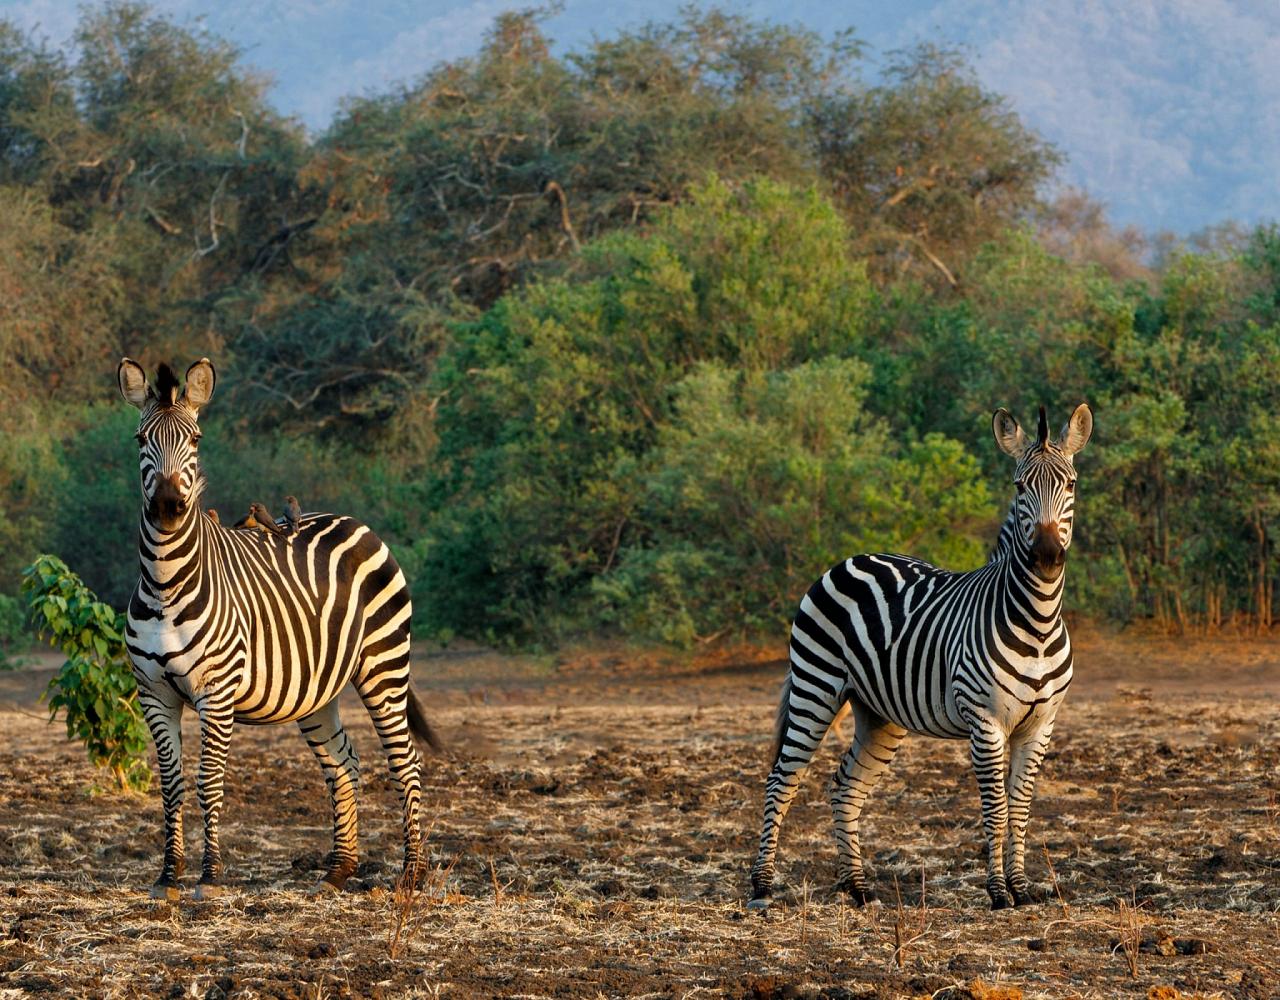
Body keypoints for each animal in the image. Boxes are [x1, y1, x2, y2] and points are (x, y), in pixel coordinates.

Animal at [117, 355, 445, 896]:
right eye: (141, 439)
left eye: (196, 440)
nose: (167, 507)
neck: (166, 583)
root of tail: (354, 521)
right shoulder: (154, 694)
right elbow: (170, 785)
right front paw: (167, 876)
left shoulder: (216, 693)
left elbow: (208, 782)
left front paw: (210, 877)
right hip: (317, 690)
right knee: (343, 762)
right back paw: (339, 870)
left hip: (384, 666)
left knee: (405, 761)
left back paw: (412, 874)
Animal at [747, 402, 1090, 906]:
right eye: (1019, 486)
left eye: (1070, 484)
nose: (1046, 556)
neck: (1039, 623)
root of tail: (849, 559)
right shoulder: (985, 722)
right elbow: (996, 809)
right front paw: (997, 892)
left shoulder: (1040, 726)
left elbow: (1020, 808)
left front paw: (1022, 888)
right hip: (815, 687)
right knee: (781, 781)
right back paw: (762, 885)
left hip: (879, 713)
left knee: (844, 786)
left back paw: (859, 888)